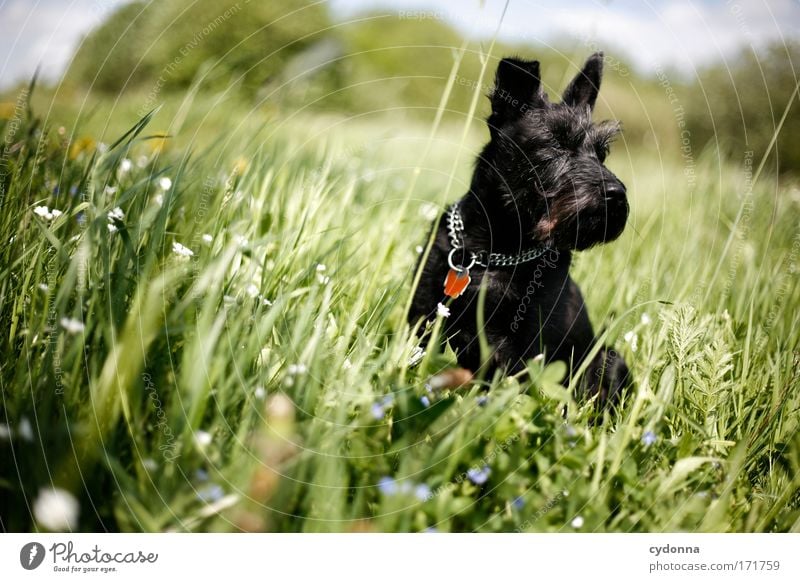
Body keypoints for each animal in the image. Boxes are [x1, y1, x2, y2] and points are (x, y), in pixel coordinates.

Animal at [412, 52, 632, 404]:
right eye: (556, 143)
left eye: (602, 153)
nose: (616, 195)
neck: (496, 247)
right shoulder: (422, 314)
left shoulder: (516, 346)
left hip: (609, 359)